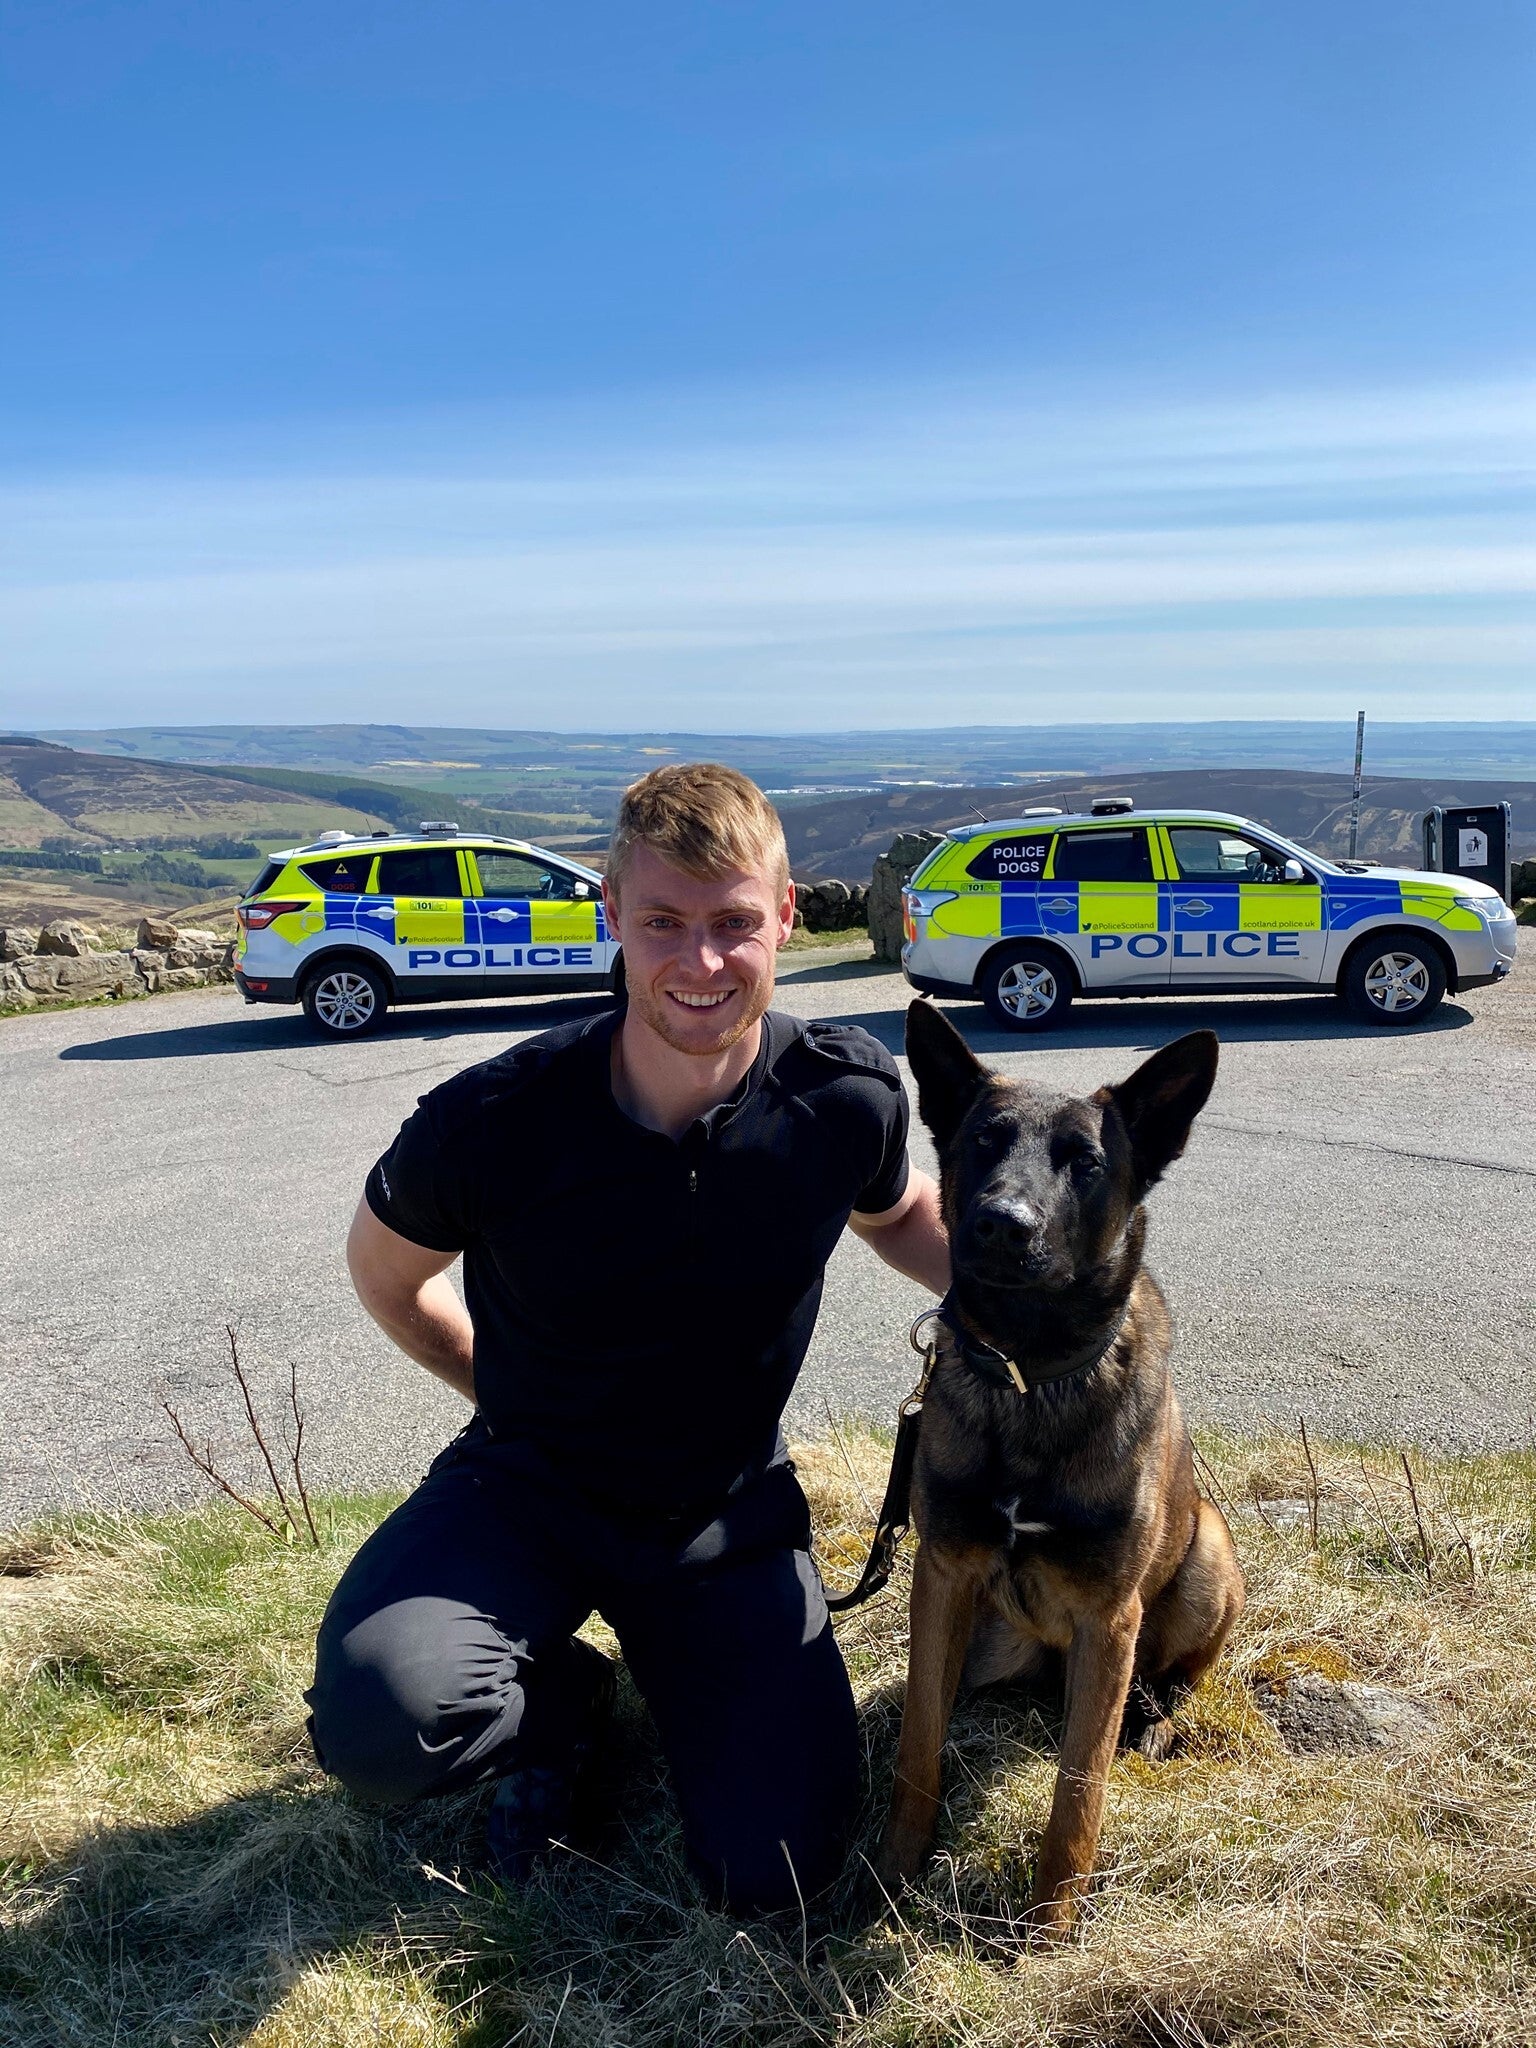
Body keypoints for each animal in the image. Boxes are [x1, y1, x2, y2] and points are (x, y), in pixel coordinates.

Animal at [877, 1001, 1244, 1935]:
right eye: (982, 1143)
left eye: (1085, 1161)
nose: (1001, 1223)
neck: (1030, 1373)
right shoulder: (943, 1575)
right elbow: (919, 1745)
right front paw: (891, 1874)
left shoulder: (1110, 1616)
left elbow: (1080, 1790)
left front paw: (1050, 1930)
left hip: (1209, 1559)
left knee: (1169, 1683)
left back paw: (1154, 1724)